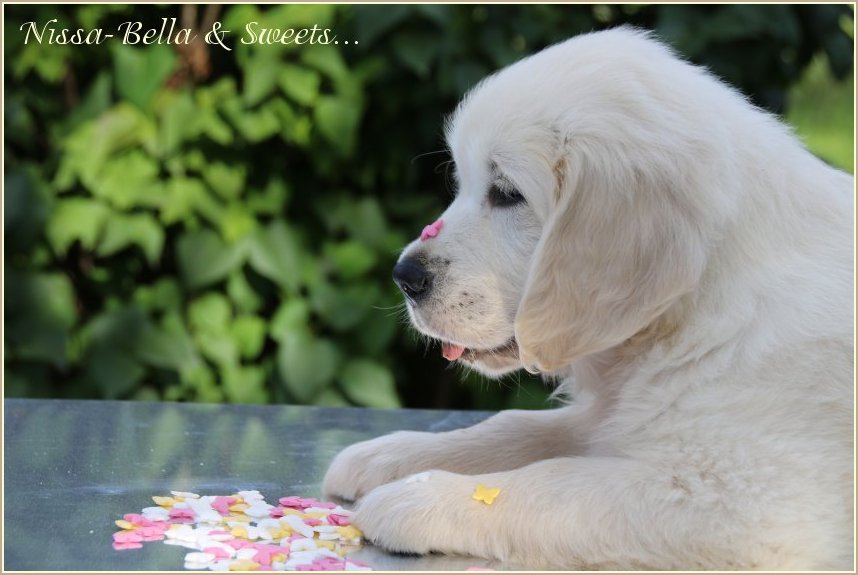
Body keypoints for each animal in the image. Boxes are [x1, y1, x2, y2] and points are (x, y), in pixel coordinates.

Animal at [323, 27, 854, 570]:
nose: (403, 277)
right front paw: (393, 454)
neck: (699, 308)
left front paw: (418, 497)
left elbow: (553, 484)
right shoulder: (608, 418)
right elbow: (517, 427)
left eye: (507, 193)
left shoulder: (744, 504)